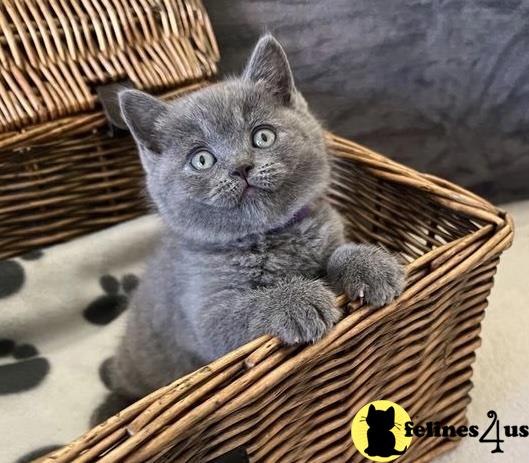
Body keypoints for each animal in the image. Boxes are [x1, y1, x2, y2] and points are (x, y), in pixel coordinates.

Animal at [108, 35, 404, 398]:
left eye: (262, 136)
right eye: (201, 159)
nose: (241, 167)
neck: (270, 237)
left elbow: (339, 250)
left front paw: (370, 264)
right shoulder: (204, 311)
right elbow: (243, 309)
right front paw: (297, 300)